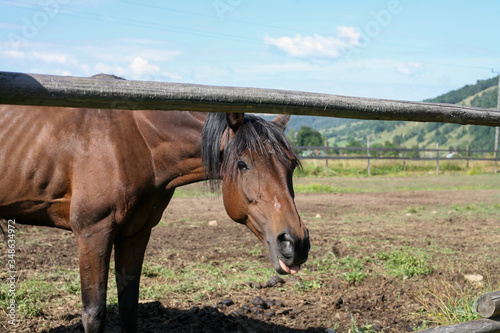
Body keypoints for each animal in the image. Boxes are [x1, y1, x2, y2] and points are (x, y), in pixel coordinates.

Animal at [0, 105, 308, 330]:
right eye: (243, 164)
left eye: (291, 165)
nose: (296, 243)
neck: (134, 144)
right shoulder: (92, 233)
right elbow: (93, 312)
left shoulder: (136, 233)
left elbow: (128, 306)